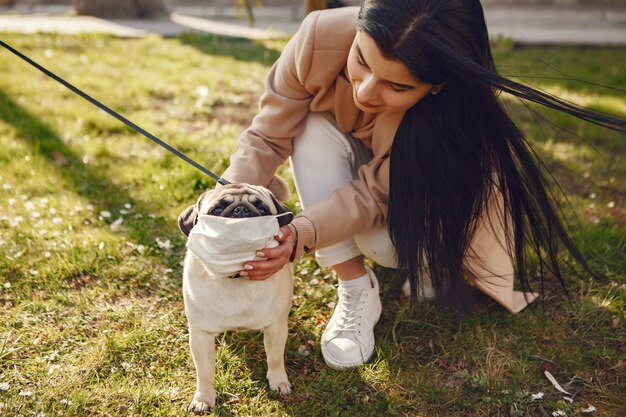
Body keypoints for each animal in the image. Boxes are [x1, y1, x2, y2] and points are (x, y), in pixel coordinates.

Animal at [176, 183, 292, 412]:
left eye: (263, 210)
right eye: (217, 210)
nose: (241, 210)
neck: (236, 276)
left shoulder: (276, 328)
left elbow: (275, 358)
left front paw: (278, 381)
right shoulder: (201, 335)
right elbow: (204, 372)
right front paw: (203, 398)